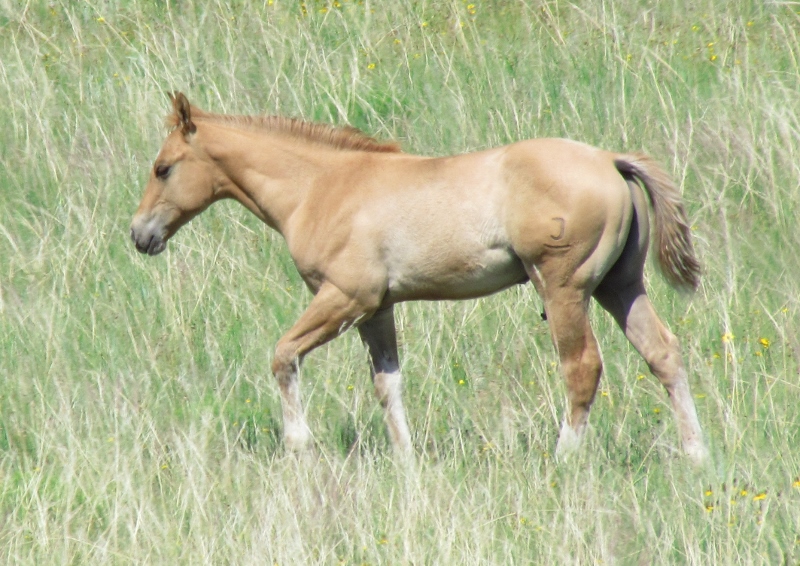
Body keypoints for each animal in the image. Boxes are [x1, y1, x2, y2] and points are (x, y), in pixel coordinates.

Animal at [131, 92, 708, 464]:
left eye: (163, 167)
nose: (140, 234)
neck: (320, 185)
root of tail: (610, 160)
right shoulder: (377, 309)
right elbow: (388, 383)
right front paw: (406, 462)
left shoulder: (345, 299)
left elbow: (283, 355)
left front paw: (298, 446)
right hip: (620, 286)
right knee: (663, 353)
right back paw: (696, 454)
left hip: (564, 288)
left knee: (582, 368)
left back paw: (563, 460)